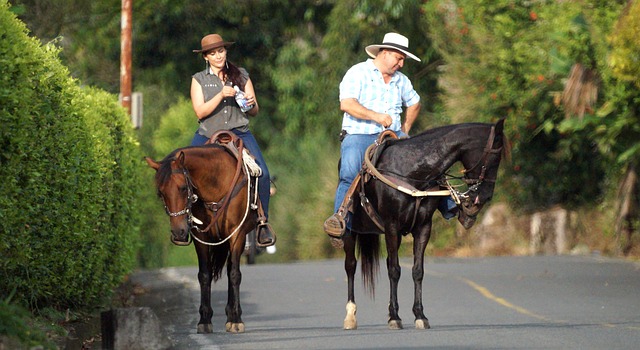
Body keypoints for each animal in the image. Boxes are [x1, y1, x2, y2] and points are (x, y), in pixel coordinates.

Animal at [144, 142, 256, 334]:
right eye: (160, 193)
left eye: (183, 187)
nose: (179, 232)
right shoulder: (200, 236)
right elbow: (204, 274)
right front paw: (204, 320)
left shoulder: (237, 234)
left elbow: (234, 274)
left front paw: (236, 320)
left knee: (231, 270)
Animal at [342, 119, 508, 330]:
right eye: (495, 158)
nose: (485, 196)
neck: (412, 172)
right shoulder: (392, 226)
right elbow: (395, 271)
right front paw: (395, 317)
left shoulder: (423, 227)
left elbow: (417, 271)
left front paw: (420, 315)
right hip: (351, 232)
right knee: (351, 266)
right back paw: (350, 317)